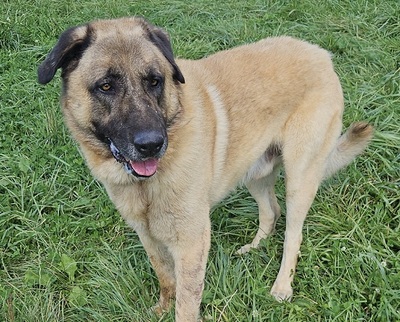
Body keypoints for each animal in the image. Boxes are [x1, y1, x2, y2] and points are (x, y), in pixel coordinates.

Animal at [37, 16, 372, 320]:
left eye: (155, 81)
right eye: (106, 86)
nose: (152, 144)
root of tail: (321, 53)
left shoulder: (191, 243)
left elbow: (186, 305)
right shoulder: (148, 236)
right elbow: (165, 277)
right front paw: (162, 308)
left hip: (300, 178)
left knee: (293, 233)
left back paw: (282, 287)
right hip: (255, 171)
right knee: (271, 211)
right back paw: (255, 247)